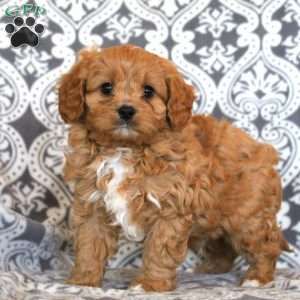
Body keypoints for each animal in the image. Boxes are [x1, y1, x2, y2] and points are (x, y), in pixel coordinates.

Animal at [58, 44, 288, 290]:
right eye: (106, 88)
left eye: (148, 91)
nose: (126, 110)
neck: (125, 147)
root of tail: (264, 151)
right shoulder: (92, 203)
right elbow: (90, 244)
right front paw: (83, 280)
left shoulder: (170, 207)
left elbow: (159, 250)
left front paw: (150, 284)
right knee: (222, 245)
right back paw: (211, 270)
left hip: (247, 218)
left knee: (266, 244)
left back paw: (257, 278)